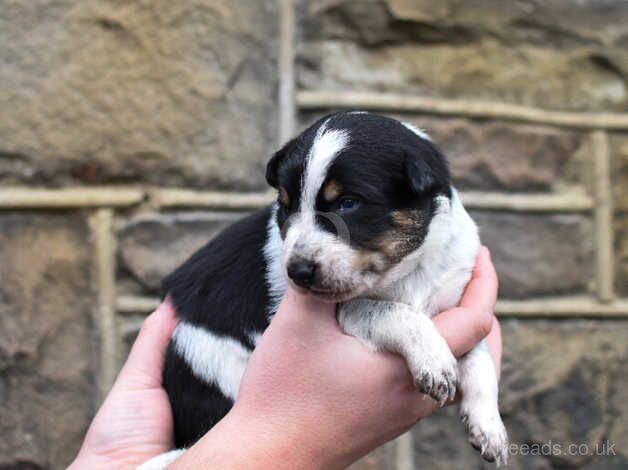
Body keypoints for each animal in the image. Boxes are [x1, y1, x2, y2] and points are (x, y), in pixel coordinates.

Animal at [140, 112, 508, 468]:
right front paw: (434, 361)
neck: (405, 272)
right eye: (286, 206)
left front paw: (489, 425)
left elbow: (479, 357)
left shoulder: (455, 299)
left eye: (348, 203)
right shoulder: (349, 310)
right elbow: (394, 312)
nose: (296, 273)